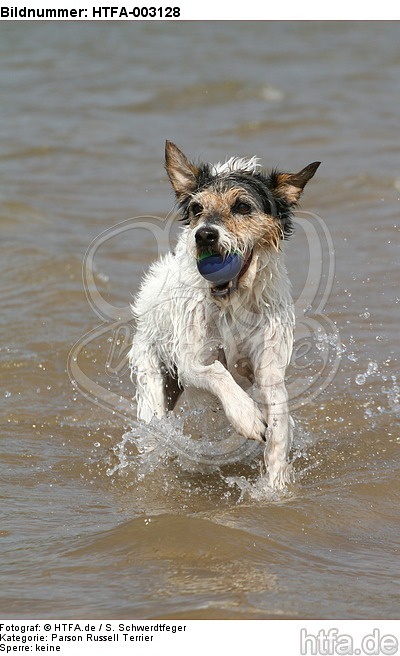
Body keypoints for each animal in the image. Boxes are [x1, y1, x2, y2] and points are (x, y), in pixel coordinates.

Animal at [130, 144, 320, 490]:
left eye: (242, 206)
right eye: (196, 208)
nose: (204, 235)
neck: (232, 303)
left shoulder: (269, 367)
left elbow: (278, 426)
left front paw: (275, 487)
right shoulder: (191, 360)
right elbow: (218, 372)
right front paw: (247, 417)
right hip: (153, 383)